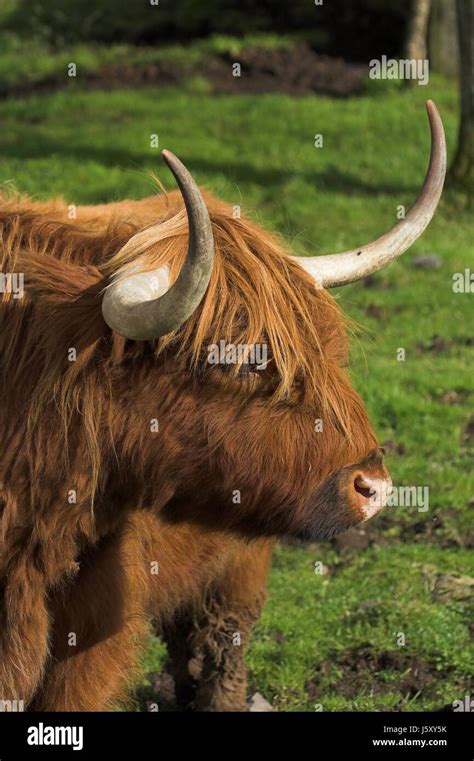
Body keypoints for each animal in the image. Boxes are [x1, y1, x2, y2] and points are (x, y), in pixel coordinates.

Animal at [0, 99, 444, 708]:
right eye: (239, 361)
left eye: (331, 353)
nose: (374, 486)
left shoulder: (92, 623)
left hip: (236, 571)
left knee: (218, 652)